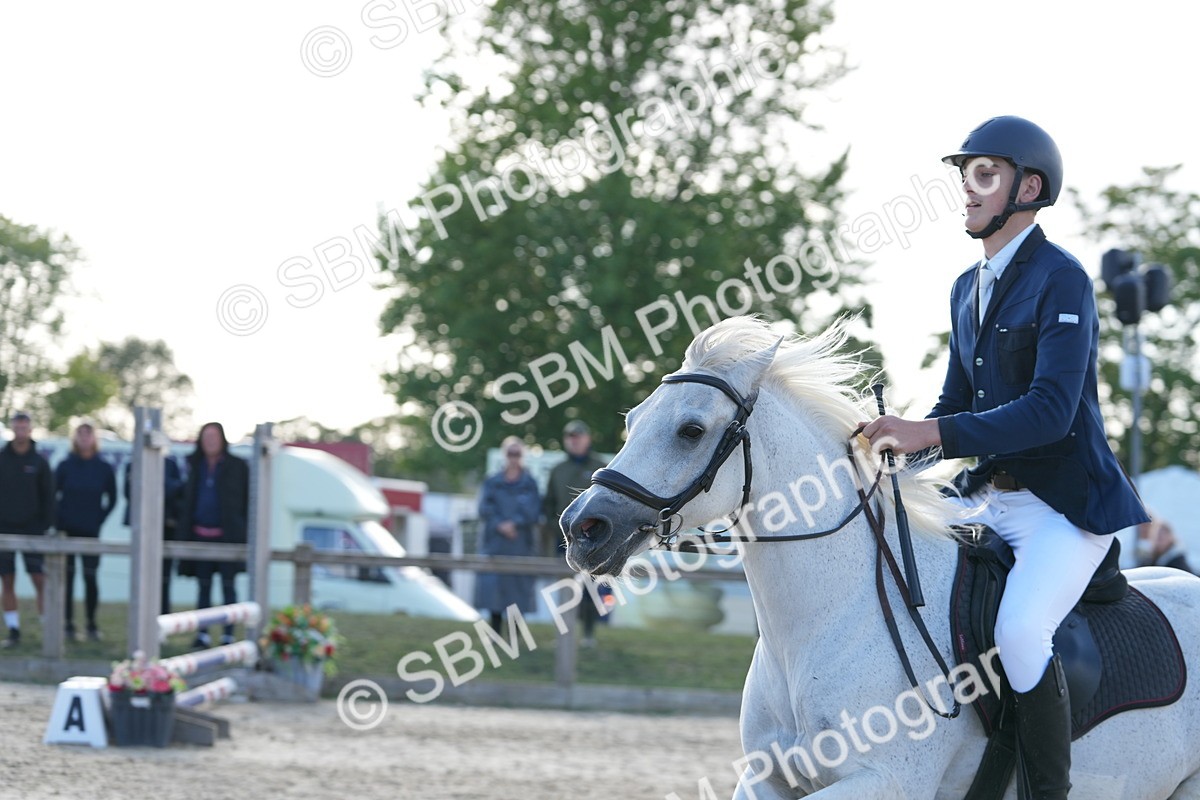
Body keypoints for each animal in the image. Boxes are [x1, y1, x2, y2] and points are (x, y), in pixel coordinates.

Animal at [560, 316, 1200, 799]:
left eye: (691, 430)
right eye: (632, 421)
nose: (582, 528)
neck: (828, 622)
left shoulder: (883, 783)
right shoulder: (766, 779)